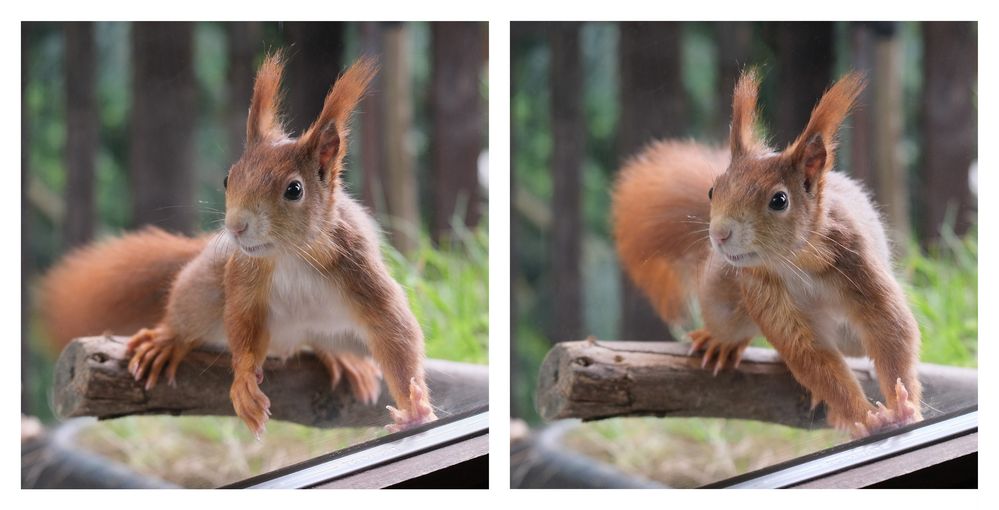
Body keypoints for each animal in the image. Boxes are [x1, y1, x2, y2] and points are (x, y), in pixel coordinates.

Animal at [41, 54, 436, 438]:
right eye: (227, 178)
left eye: (294, 189)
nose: (235, 227)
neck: (291, 255)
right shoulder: (245, 273)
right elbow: (243, 323)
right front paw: (244, 381)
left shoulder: (358, 267)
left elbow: (394, 330)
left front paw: (415, 406)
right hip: (203, 286)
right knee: (188, 314)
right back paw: (168, 341)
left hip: (335, 329)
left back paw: (343, 358)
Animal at [612, 68, 924, 438]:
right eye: (712, 190)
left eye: (779, 200)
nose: (719, 233)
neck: (796, 262)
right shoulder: (760, 288)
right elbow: (810, 358)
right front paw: (865, 416)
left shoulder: (855, 260)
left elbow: (890, 328)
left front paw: (904, 406)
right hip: (723, 298)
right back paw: (721, 343)